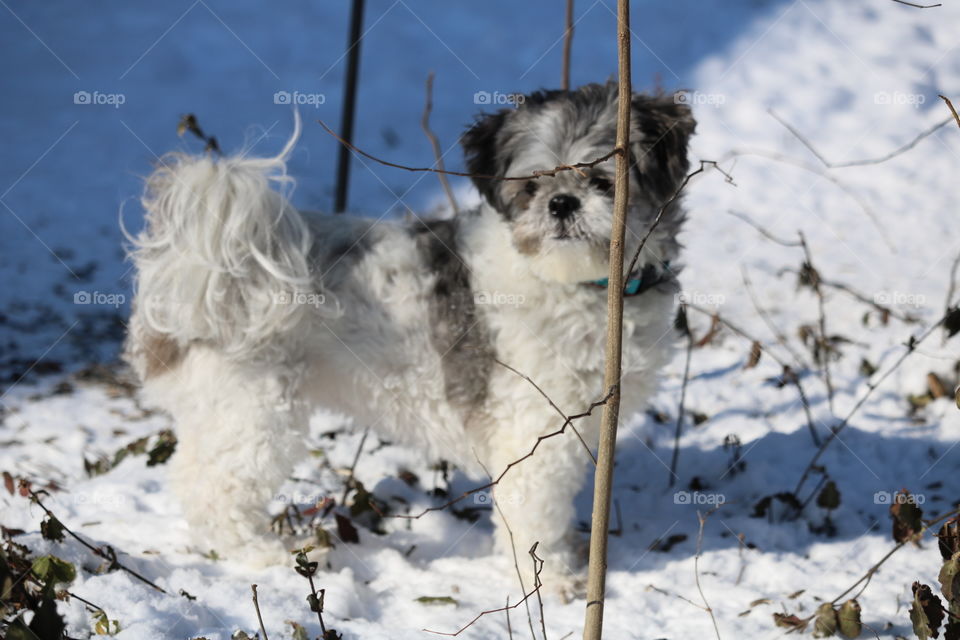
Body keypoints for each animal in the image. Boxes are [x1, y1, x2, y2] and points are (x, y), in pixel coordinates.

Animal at [125, 81, 696, 592]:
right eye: (532, 186)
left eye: (603, 181)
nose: (560, 203)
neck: (579, 286)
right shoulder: (534, 431)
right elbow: (537, 515)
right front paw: (554, 580)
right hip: (254, 411)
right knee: (213, 490)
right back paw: (257, 551)